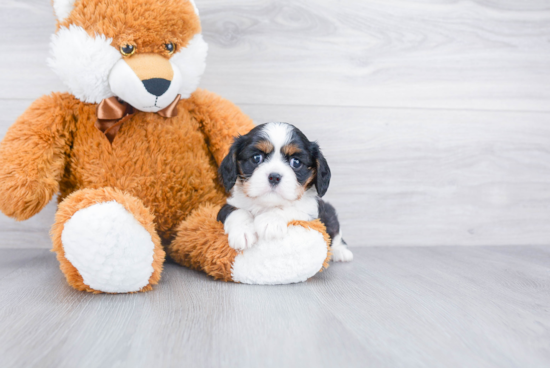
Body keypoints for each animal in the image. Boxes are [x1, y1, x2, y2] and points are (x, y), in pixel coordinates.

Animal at [217, 121, 354, 262]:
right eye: (256, 158)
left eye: (296, 162)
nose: (274, 177)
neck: (266, 205)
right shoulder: (229, 204)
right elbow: (236, 211)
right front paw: (242, 231)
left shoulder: (311, 211)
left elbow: (291, 208)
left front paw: (270, 220)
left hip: (330, 212)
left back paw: (341, 252)